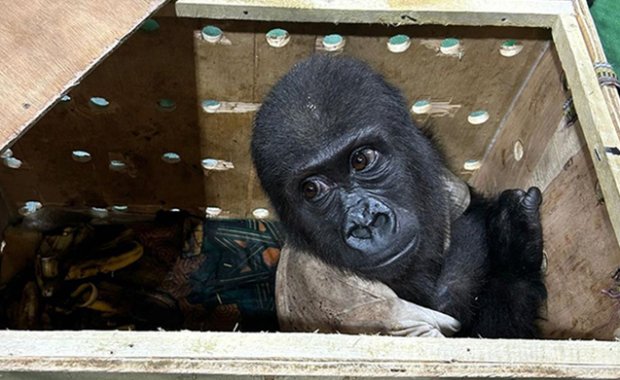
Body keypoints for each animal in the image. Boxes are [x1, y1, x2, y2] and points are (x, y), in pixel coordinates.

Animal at [249, 54, 544, 338]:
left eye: (361, 160)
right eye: (312, 189)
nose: (365, 221)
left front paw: (512, 239)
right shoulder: (358, 304)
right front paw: (513, 249)